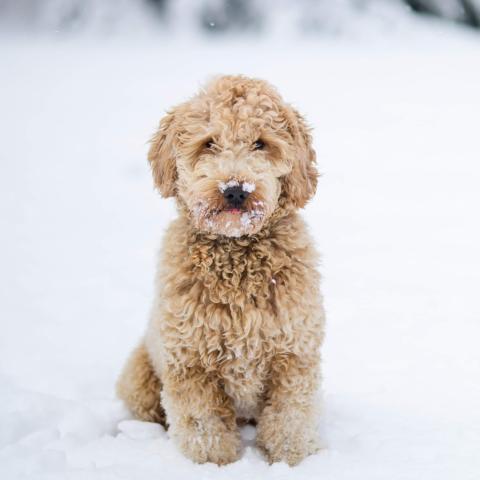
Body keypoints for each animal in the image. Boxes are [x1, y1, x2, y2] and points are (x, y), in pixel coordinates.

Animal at [117, 75, 326, 464]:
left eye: (261, 143)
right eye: (208, 143)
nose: (235, 190)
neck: (235, 256)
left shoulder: (294, 356)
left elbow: (289, 419)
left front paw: (290, 461)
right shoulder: (189, 362)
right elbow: (204, 427)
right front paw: (215, 465)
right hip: (139, 378)